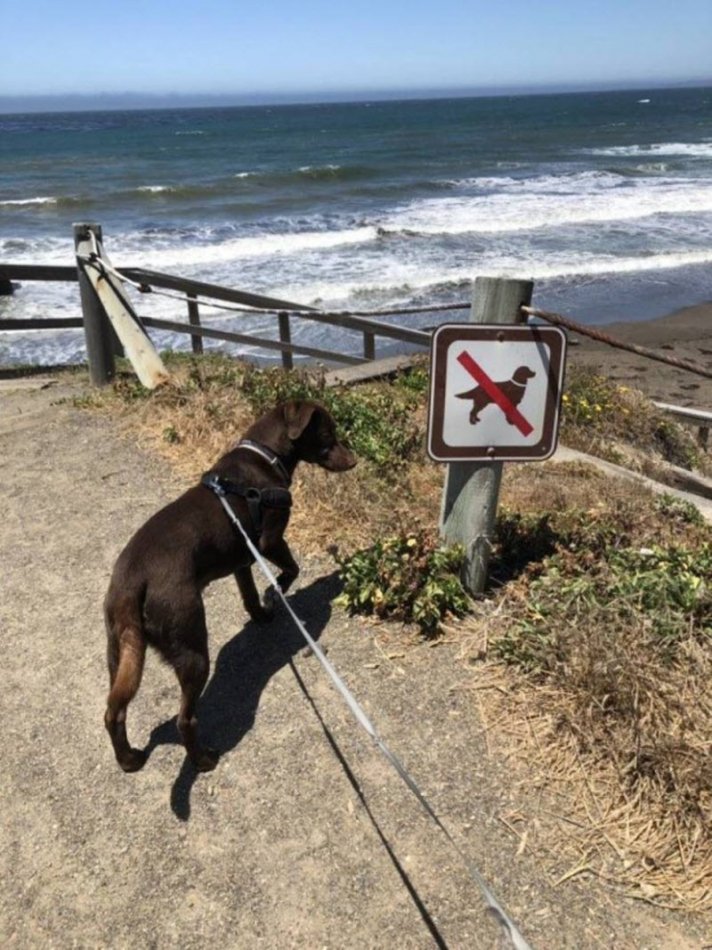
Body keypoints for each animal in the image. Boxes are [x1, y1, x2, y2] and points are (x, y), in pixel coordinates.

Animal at [104, 399, 356, 774]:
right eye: (328, 434)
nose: (354, 461)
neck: (265, 455)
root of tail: (135, 581)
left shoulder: (242, 560)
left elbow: (249, 596)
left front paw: (263, 613)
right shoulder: (269, 541)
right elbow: (292, 568)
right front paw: (276, 592)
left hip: (119, 650)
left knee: (114, 711)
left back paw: (128, 759)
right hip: (191, 643)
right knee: (184, 719)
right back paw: (204, 759)